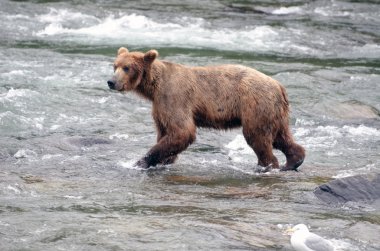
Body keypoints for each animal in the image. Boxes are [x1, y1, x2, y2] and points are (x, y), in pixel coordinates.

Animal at [107, 47, 306, 172]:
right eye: (114, 65)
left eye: (127, 67)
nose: (111, 81)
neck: (154, 87)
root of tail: (279, 85)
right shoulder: (160, 107)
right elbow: (165, 132)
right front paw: (164, 160)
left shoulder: (174, 97)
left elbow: (183, 131)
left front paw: (140, 162)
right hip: (275, 112)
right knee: (281, 137)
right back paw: (293, 161)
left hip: (256, 105)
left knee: (257, 137)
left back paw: (266, 166)